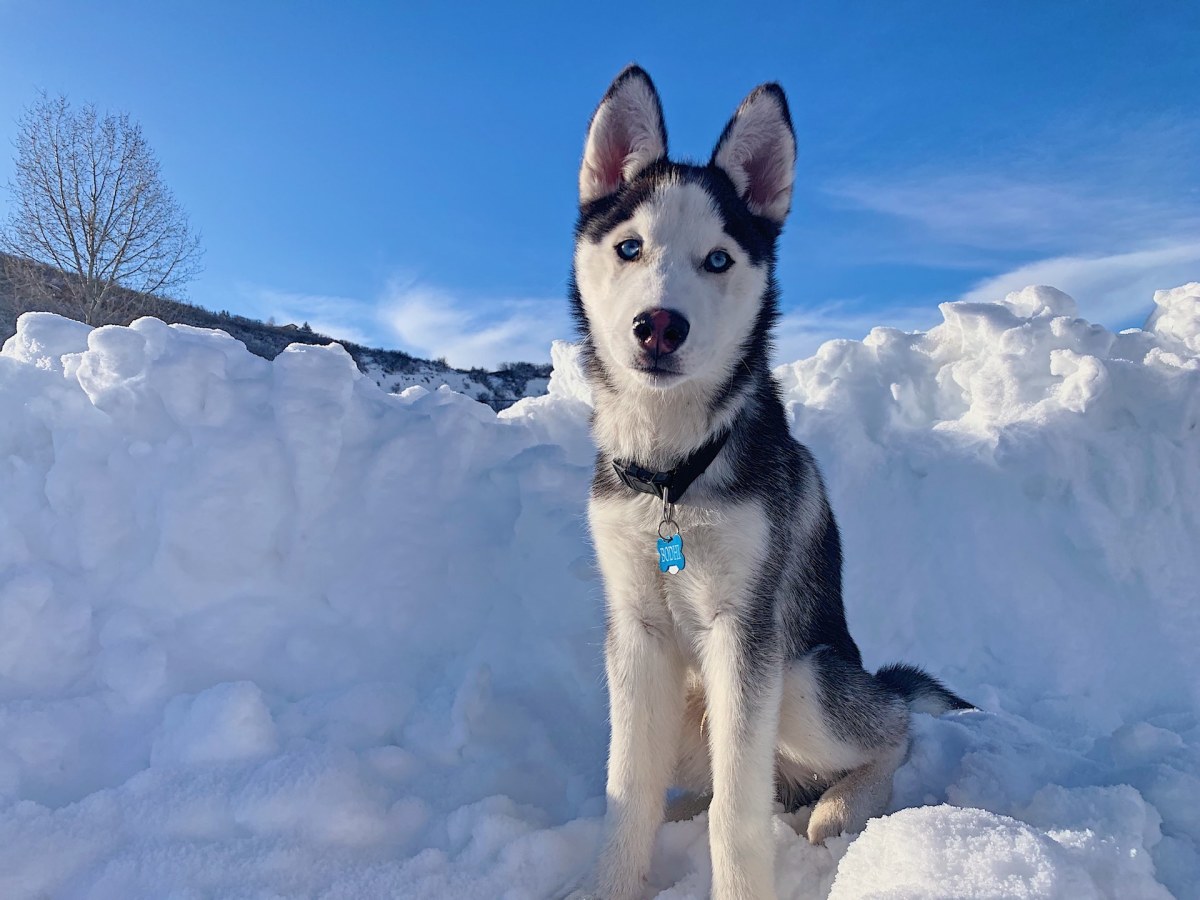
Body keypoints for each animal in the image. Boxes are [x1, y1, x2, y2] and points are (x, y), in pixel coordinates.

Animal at [566, 65, 969, 900]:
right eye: (629, 247)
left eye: (719, 259)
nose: (659, 325)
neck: (672, 474)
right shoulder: (636, 632)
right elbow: (628, 793)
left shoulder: (743, 630)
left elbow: (737, 814)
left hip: (803, 678)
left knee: (890, 725)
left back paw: (843, 805)